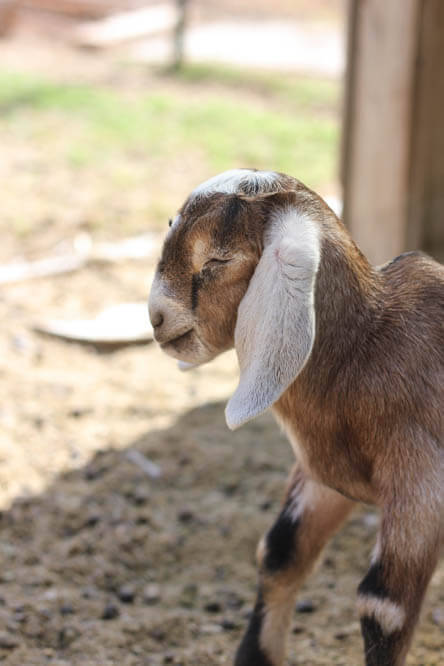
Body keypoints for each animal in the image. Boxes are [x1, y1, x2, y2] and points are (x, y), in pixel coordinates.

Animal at [147, 169, 442, 660]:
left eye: (219, 259)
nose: (155, 317)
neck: (368, 347)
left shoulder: (422, 484)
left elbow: (385, 607)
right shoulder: (326, 476)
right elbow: (280, 552)